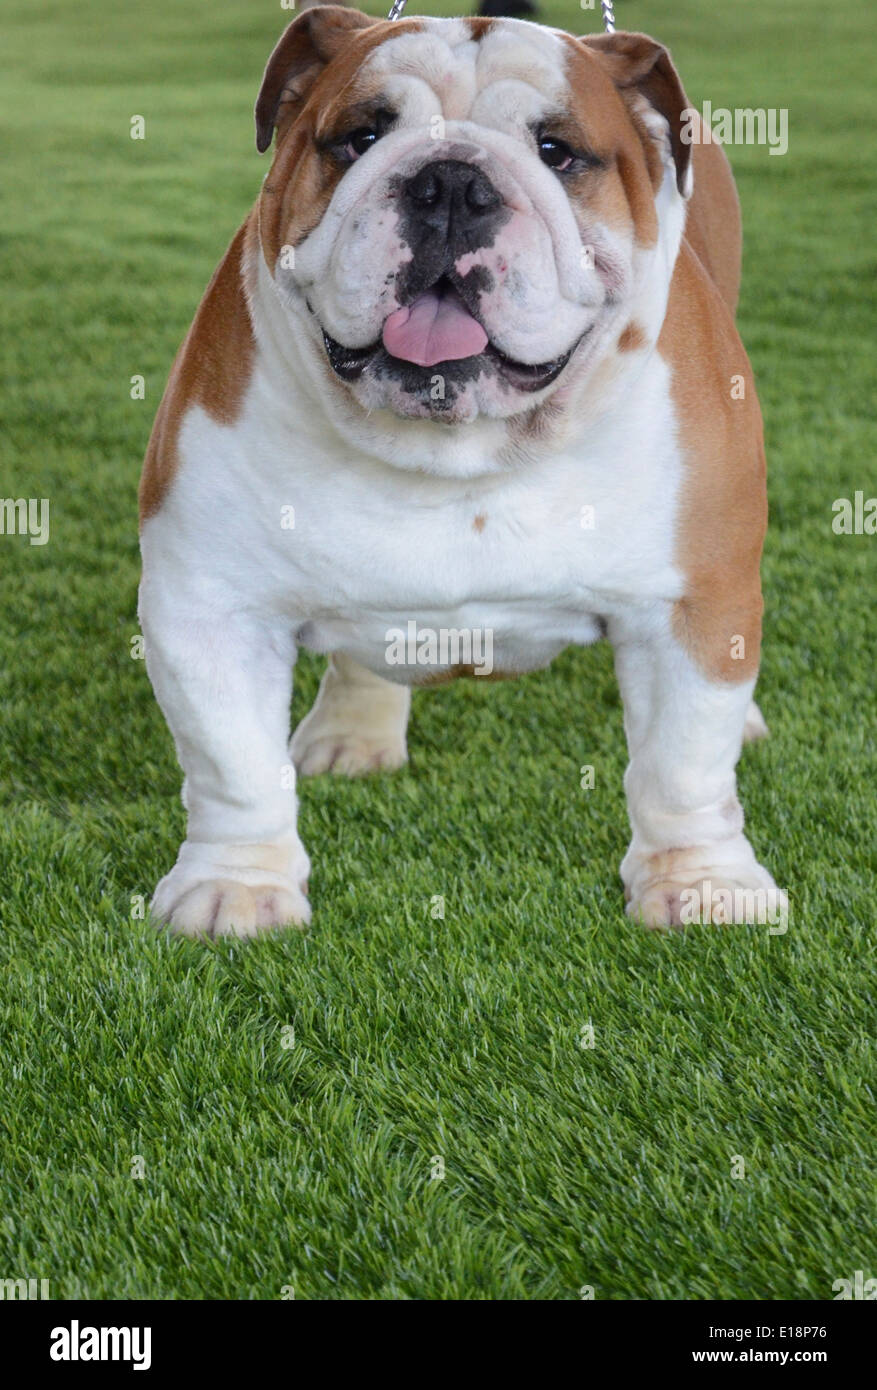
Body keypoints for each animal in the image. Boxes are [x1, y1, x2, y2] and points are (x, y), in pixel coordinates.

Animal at [140, 8, 783, 934]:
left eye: (556, 151)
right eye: (362, 136)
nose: (449, 184)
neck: (461, 452)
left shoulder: (691, 600)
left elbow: (682, 762)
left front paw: (701, 882)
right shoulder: (207, 602)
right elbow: (234, 764)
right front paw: (236, 884)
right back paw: (354, 730)